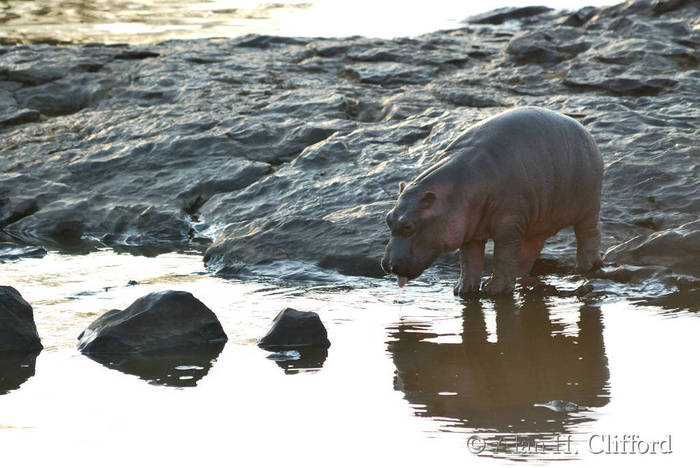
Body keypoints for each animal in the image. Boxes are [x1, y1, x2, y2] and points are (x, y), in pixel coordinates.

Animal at [381, 107, 603, 297]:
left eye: (408, 225)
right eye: (388, 218)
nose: (386, 265)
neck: (456, 189)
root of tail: (584, 130)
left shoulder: (509, 224)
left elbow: (502, 255)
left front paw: (494, 290)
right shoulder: (469, 231)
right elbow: (469, 261)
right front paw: (462, 290)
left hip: (588, 208)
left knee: (588, 234)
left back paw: (584, 267)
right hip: (538, 220)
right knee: (531, 248)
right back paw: (520, 275)